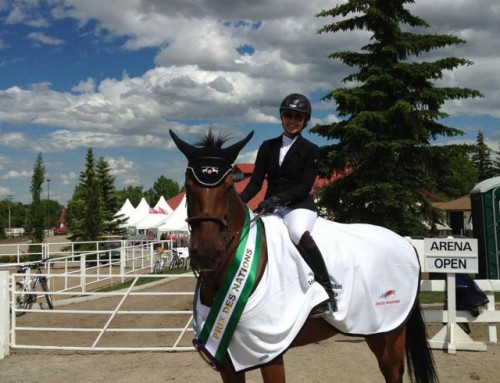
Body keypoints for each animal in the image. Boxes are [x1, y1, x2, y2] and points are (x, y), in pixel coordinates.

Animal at [169, 130, 438, 383]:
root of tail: (405, 242)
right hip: (374, 326)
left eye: (227, 188)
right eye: (188, 187)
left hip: (391, 328)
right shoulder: (225, 361)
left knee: (392, 371)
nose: (206, 254)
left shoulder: (268, 352)